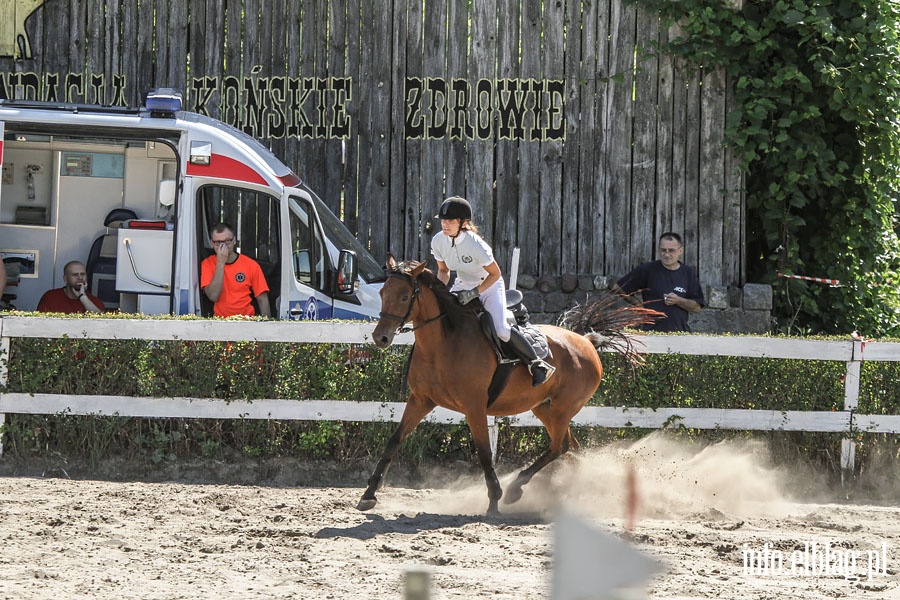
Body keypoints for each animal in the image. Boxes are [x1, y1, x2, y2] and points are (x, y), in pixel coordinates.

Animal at [358, 258, 660, 516]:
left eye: (404, 296)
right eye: (383, 292)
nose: (380, 337)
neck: (443, 344)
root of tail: (586, 341)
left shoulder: (474, 407)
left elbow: (484, 453)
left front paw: (494, 500)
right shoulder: (420, 400)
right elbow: (394, 441)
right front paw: (369, 495)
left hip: (563, 408)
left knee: (558, 446)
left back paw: (516, 487)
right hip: (544, 408)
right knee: (569, 447)